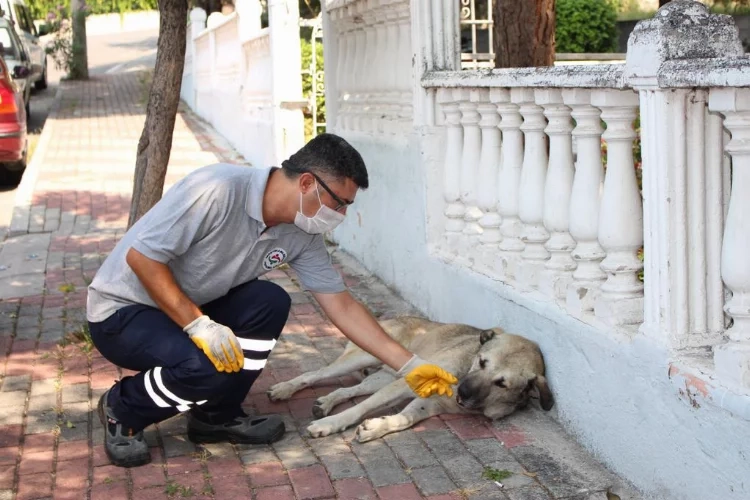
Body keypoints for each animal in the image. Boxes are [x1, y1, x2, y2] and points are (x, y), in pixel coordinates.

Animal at [268, 316, 556, 442]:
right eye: (482, 361)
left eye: (502, 383)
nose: (461, 393)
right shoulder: (407, 385)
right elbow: (362, 408)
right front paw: (331, 424)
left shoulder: (430, 404)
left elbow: (405, 419)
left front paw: (378, 427)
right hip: (363, 359)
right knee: (314, 375)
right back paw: (285, 389)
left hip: (383, 377)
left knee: (351, 390)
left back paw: (326, 402)